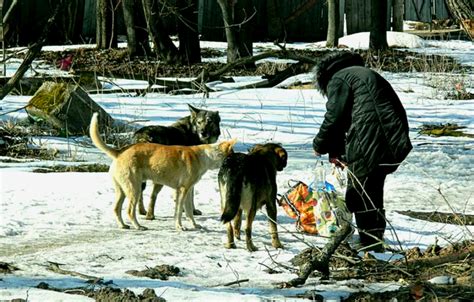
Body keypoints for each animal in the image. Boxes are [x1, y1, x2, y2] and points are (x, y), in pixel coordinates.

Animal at [88, 112, 235, 230]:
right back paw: (139, 226)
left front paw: (194, 225)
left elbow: (189, 212)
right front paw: (180, 227)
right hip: (135, 189)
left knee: (116, 209)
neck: (205, 156)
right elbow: (178, 212)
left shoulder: (188, 191)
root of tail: (120, 152)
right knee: (130, 211)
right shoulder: (182, 191)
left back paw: (123, 225)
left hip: (123, 190)